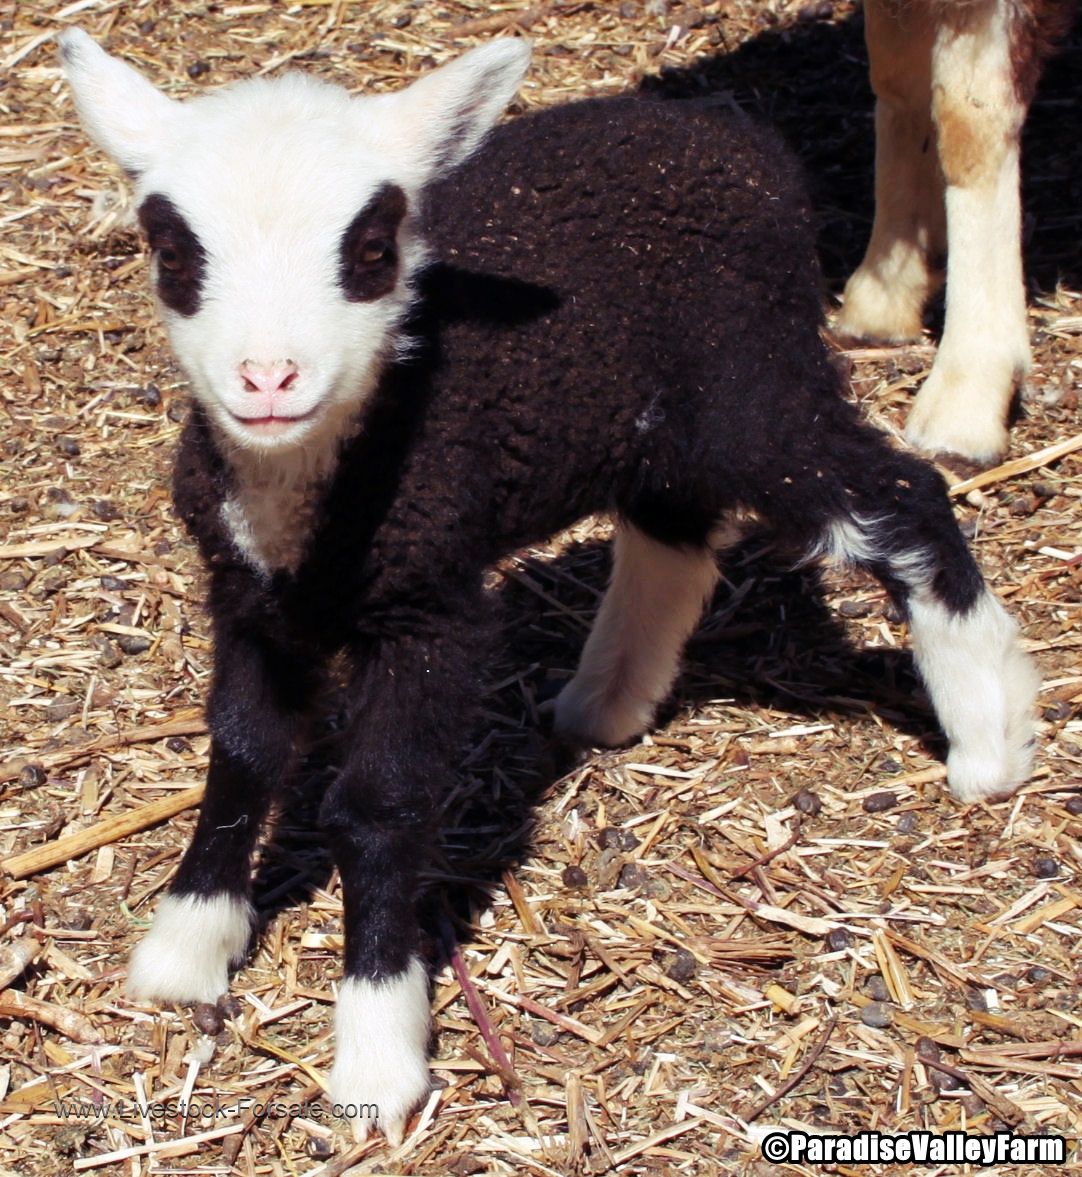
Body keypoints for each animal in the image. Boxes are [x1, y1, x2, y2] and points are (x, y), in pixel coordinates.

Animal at [60, 27, 1039, 1145]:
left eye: (370, 251)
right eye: (173, 253)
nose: (268, 380)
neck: (310, 485)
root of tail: (729, 138)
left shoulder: (430, 605)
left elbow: (378, 807)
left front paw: (376, 1050)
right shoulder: (248, 592)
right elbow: (241, 753)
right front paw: (186, 947)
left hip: (749, 381)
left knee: (900, 497)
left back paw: (991, 734)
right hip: (662, 414)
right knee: (673, 536)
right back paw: (605, 701)